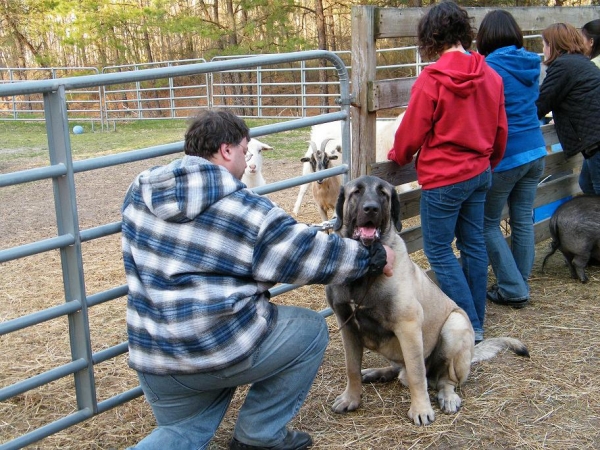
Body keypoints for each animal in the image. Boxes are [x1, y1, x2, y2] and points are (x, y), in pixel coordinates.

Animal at [328, 175, 528, 426]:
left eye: (383, 193)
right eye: (356, 192)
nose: (371, 208)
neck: (365, 266)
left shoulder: (408, 327)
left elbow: (417, 375)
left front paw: (421, 409)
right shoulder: (347, 326)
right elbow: (352, 368)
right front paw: (351, 399)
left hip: (455, 326)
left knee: (443, 380)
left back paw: (448, 397)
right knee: (399, 369)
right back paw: (377, 373)